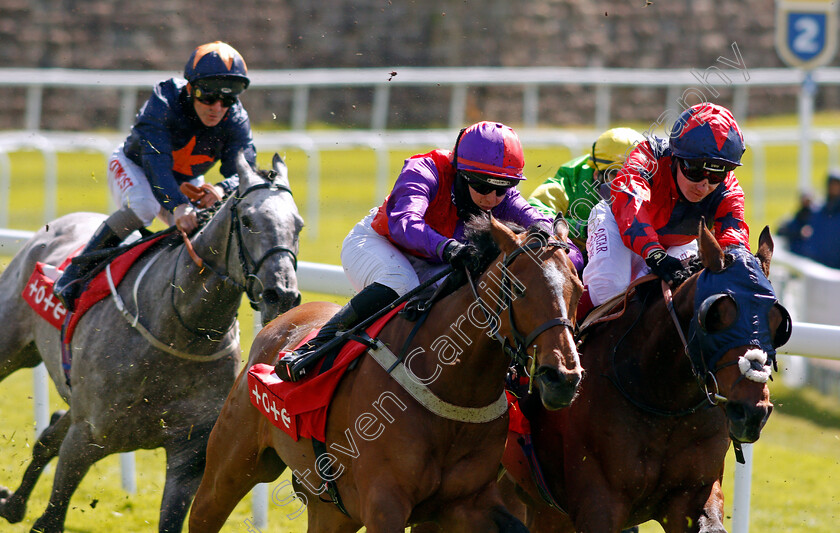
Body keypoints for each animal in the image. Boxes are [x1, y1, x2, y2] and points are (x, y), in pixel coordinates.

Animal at [0, 152, 304, 528]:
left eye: (299, 225)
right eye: (247, 220)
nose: (283, 295)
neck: (179, 335)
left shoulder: (188, 456)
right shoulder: (87, 439)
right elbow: (54, 516)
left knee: (49, 436)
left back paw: (13, 504)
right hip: (10, 345)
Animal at [190, 217, 584, 532]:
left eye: (578, 288)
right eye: (517, 288)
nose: (562, 377)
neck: (451, 388)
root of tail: (277, 325)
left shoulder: (467, 503)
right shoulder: (384, 503)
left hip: (331, 508)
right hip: (231, 465)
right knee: (204, 511)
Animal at [502, 224, 792, 532]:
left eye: (778, 322)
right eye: (715, 315)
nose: (751, 411)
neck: (662, 398)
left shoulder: (692, 495)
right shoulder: (597, 503)